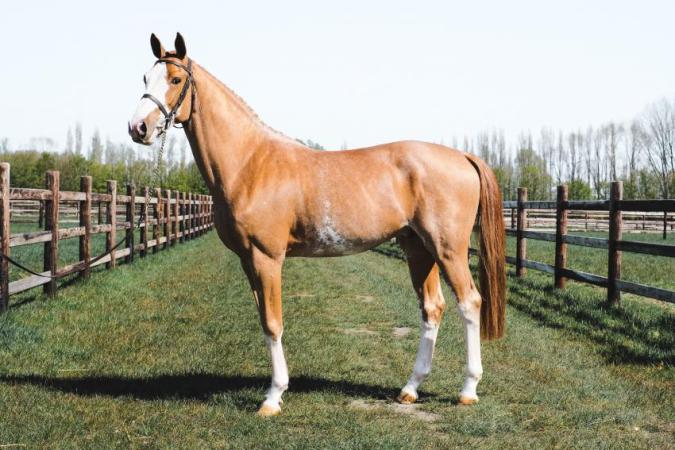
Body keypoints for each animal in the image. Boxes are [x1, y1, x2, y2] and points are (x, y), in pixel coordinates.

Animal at [128, 33, 506, 417]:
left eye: (176, 79)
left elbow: (273, 323)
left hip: (448, 249)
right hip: (418, 248)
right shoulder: (248, 260)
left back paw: (468, 389)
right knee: (432, 308)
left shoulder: (267, 258)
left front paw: (273, 397)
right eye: (145, 78)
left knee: (470, 303)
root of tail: (463, 157)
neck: (250, 162)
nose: (138, 128)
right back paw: (410, 389)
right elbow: (264, 322)